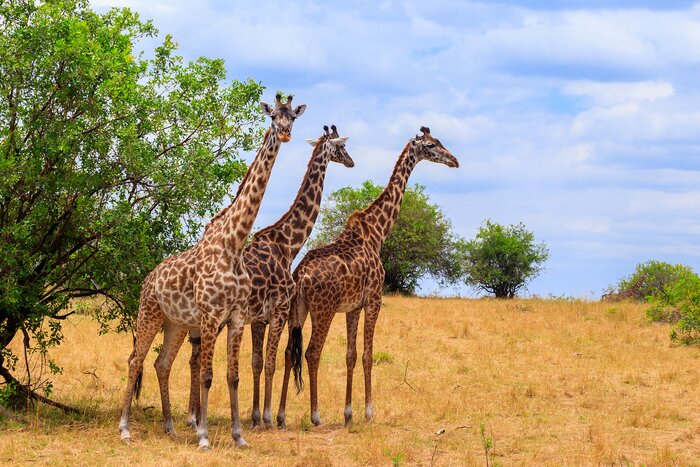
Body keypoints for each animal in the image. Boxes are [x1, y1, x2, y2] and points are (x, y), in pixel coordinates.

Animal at [118, 93, 306, 449]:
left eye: (293, 117)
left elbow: (233, 376)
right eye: (273, 115)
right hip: (149, 313)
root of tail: (148, 278)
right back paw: (124, 428)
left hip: (175, 323)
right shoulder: (209, 315)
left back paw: (170, 427)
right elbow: (206, 375)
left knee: (161, 363)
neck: (233, 244)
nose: (286, 133)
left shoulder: (235, 317)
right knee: (135, 359)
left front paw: (239, 436)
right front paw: (203, 435)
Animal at [184, 125, 354, 430]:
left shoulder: (258, 319)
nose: (352, 162)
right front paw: (268, 418)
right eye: (341, 147)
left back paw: (192, 416)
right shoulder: (279, 312)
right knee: (197, 359)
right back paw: (194, 417)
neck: (287, 244)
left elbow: (257, 363)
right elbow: (271, 362)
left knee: (193, 359)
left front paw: (254, 416)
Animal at [279, 127, 459, 427]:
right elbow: (367, 354)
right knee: (311, 352)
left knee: (288, 352)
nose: (455, 161)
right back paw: (315, 415)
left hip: (298, 309)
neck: (378, 232)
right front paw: (368, 412)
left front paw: (348, 413)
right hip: (323, 309)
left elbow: (350, 355)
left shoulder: (353, 307)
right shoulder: (374, 299)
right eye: (432, 145)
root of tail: (301, 275)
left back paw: (280, 415)